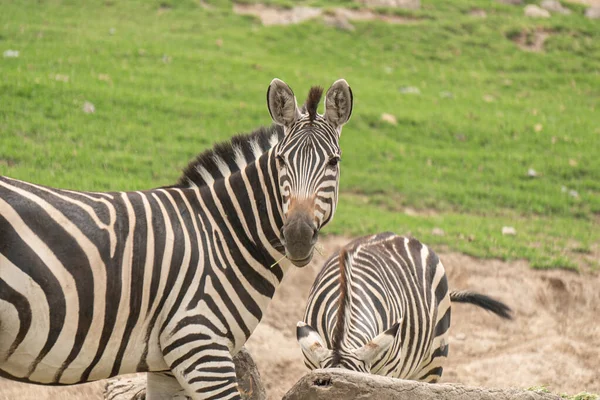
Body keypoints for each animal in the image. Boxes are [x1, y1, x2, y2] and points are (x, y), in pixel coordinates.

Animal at [0, 76, 354, 398]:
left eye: (334, 161)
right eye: (281, 160)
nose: (297, 236)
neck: (224, 234)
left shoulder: (167, 366)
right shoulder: (200, 346)